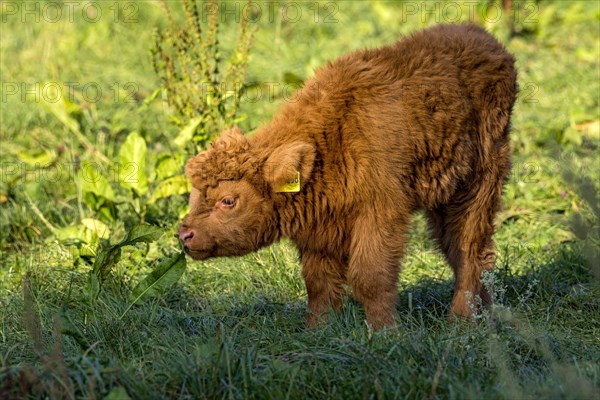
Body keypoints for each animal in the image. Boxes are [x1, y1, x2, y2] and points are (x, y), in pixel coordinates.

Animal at [178, 23, 516, 328]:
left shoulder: (379, 215)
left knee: (468, 249)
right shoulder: (320, 231)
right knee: (467, 252)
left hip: (479, 184)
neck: (328, 142)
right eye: (193, 195)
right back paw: (489, 314)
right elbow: (319, 284)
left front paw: (384, 333)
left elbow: (370, 278)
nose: (184, 235)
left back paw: (461, 320)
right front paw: (318, 331)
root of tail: (492, 46)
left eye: (228, 200)